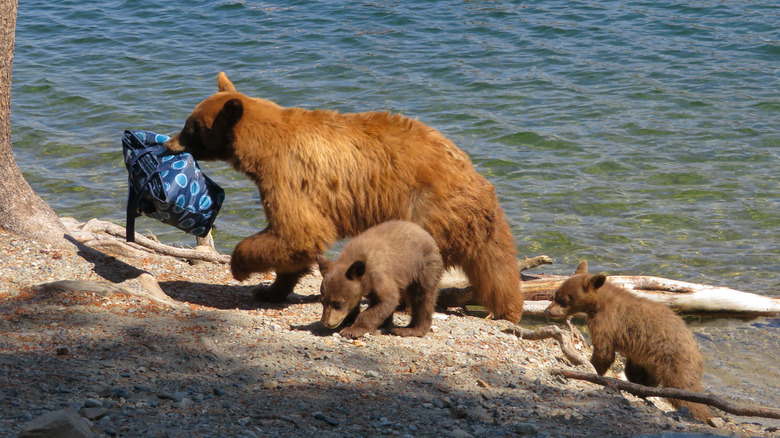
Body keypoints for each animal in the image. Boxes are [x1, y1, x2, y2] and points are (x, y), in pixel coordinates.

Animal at [164, 72, 524, 322]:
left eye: (191, 127)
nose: (169, 143)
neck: (262, 147)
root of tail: (475, 179)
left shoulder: (289, 175)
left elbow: (297, 231)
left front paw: (241, 267)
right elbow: (297, 242)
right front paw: (271, 290)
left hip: (425, 209)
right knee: (497, 268)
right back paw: (507, 308)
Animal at [544, 260, 713, 422]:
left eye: (563, 299)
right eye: (556, 294)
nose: (547, 310)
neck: (600, 303)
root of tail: (698, 356)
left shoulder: (606, 323)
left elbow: (604, 352)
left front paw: (591, 369)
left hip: (675, 361)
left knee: (685, 390)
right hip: (646, 362)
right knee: (637, 375)